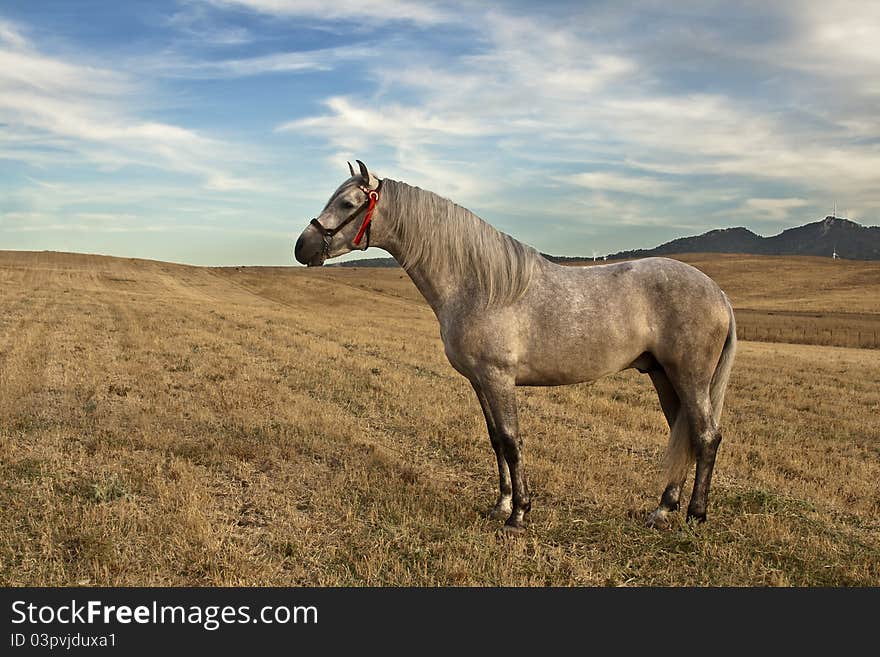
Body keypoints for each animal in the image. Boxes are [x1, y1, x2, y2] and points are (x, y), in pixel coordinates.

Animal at [296, 160, 736, 532]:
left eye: (348, 203)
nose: (303, 247)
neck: (478, 285)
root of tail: (717, 293)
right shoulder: (480, 381)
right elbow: (495, 440)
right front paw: (501, 505)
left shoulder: (499, 378)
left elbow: (512, 439)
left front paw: (519, 514)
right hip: (664, 377)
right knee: (684, 434)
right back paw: (663, 509)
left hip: (690, 378)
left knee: (706, 436)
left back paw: (696, 515)